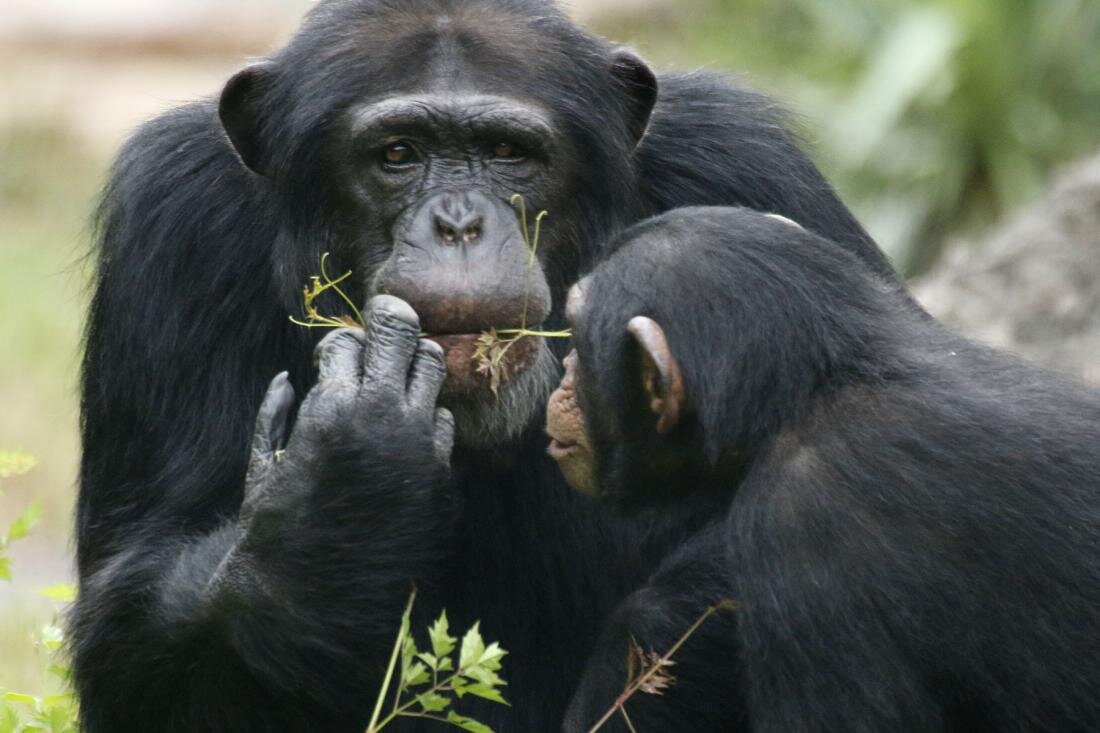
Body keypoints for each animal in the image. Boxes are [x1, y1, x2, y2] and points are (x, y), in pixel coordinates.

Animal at [75, 1, 884, 730]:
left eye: (506, 152)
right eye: (398, 155)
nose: (459, 221)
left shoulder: (753, 168)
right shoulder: (170, 220)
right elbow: (127, 618)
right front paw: (344, 485)